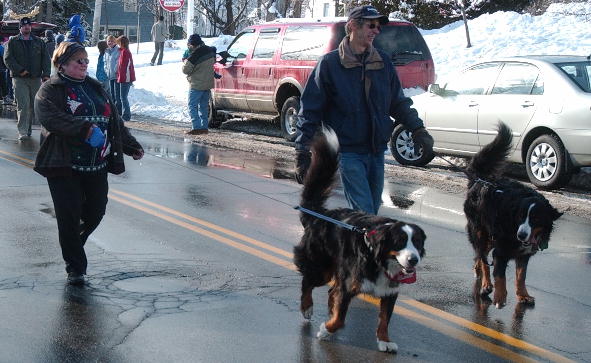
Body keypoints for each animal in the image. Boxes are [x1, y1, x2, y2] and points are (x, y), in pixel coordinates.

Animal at [292, 128, 426, 352]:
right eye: (400, 242)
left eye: (417, 243)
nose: (413, 259)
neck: (378, 259)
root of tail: (320, 214)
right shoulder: (349, 285)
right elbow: (340, 318)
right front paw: (326, 330)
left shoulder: (390, 291)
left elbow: (384, 320)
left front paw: (385, 341)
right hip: (321, 268)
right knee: (307, 282)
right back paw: (307, 308)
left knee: (330, 292)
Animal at [464, 123, 560, 310]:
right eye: (520, 216)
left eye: (536, 219)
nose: (521, 235)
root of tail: (480, 180)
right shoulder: (501, 251)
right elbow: (500, 275)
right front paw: (500, 297)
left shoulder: (523, 255)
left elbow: (521, 276)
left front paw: (523, 295)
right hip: (480, 232)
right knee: (483, 259)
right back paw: (486, 285)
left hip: (490, 237)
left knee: (480, 256)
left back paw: (477, 270)